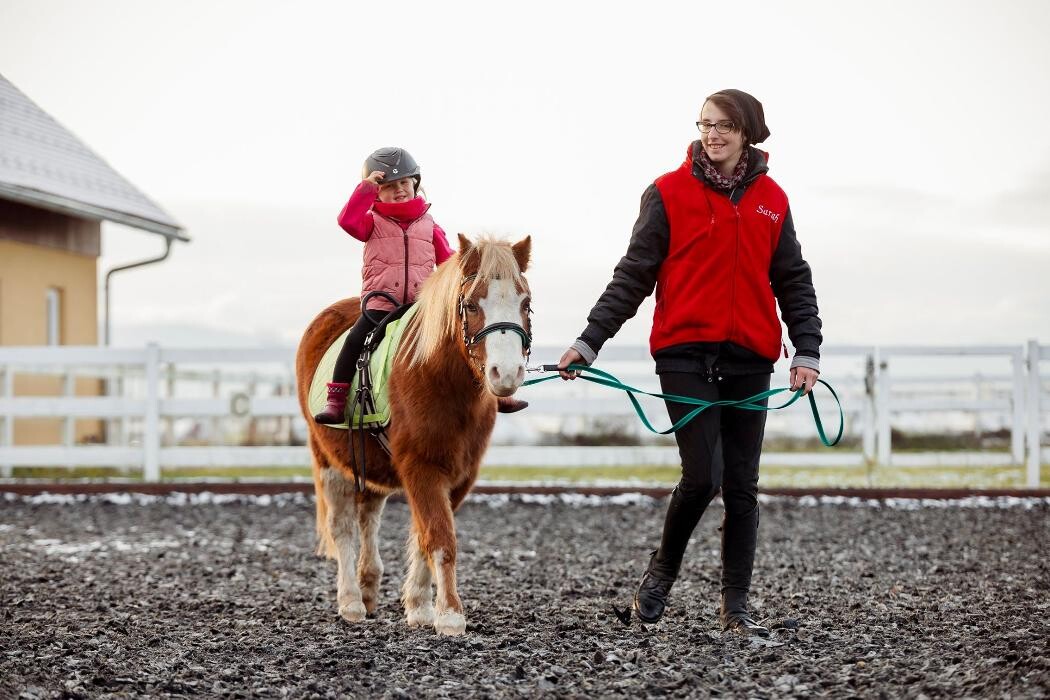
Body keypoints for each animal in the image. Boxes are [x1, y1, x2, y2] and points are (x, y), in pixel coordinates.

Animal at [298, 234, 533, 633]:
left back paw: (369, 588)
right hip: (328, 460)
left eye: (525, 302)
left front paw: (421, 607)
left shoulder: (460, 475)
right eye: (471, 304)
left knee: (368, 516)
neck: (442, 380)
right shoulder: (421, 467)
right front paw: (450, 615)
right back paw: (351, 602)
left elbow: (425, 536)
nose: (506, 373)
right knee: (342, 527)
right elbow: (439, 537)